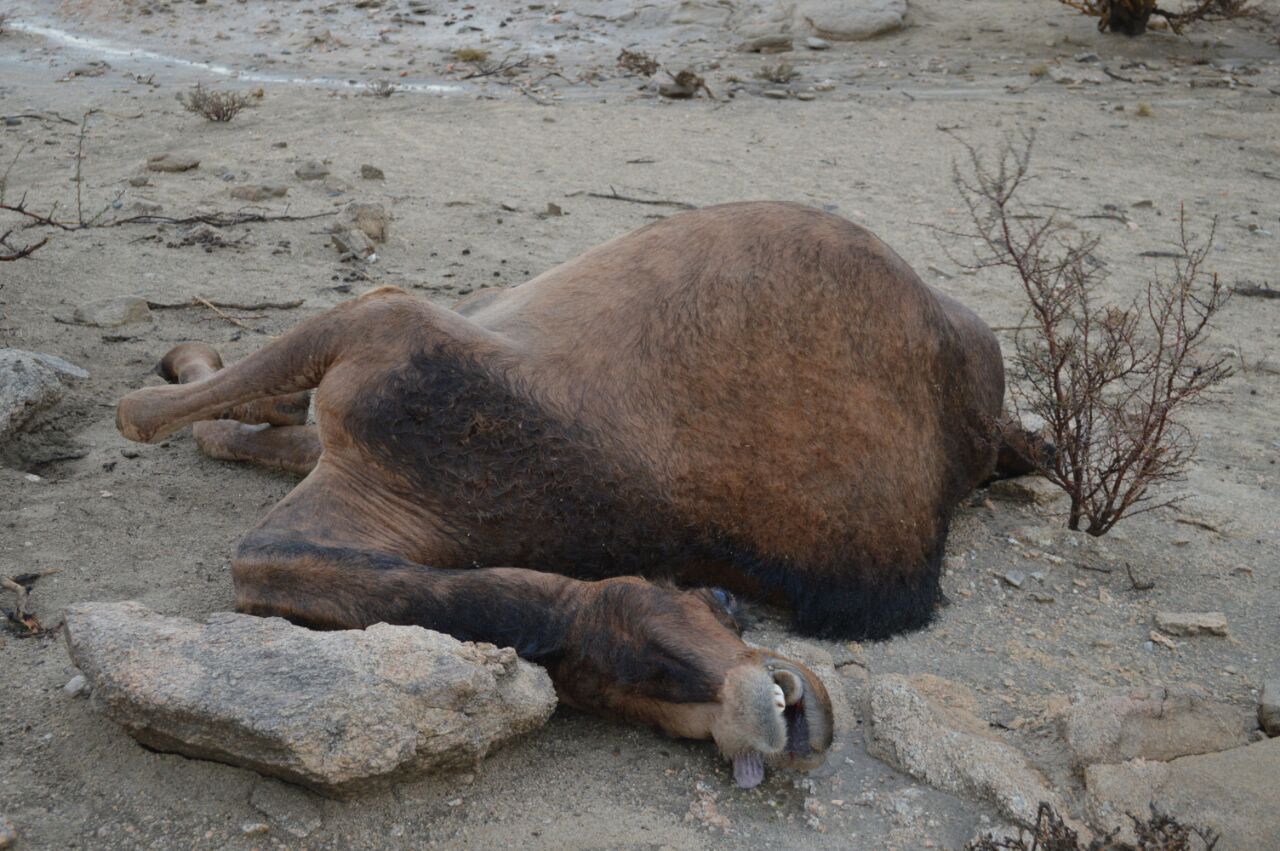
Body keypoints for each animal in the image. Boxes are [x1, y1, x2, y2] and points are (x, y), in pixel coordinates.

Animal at [115, 202, 1013, 788]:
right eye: (648, 670)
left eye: (620, 692)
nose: (766, 723)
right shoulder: (381, 336)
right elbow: (161, 416)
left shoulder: (380, 335)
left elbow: (164, 427)